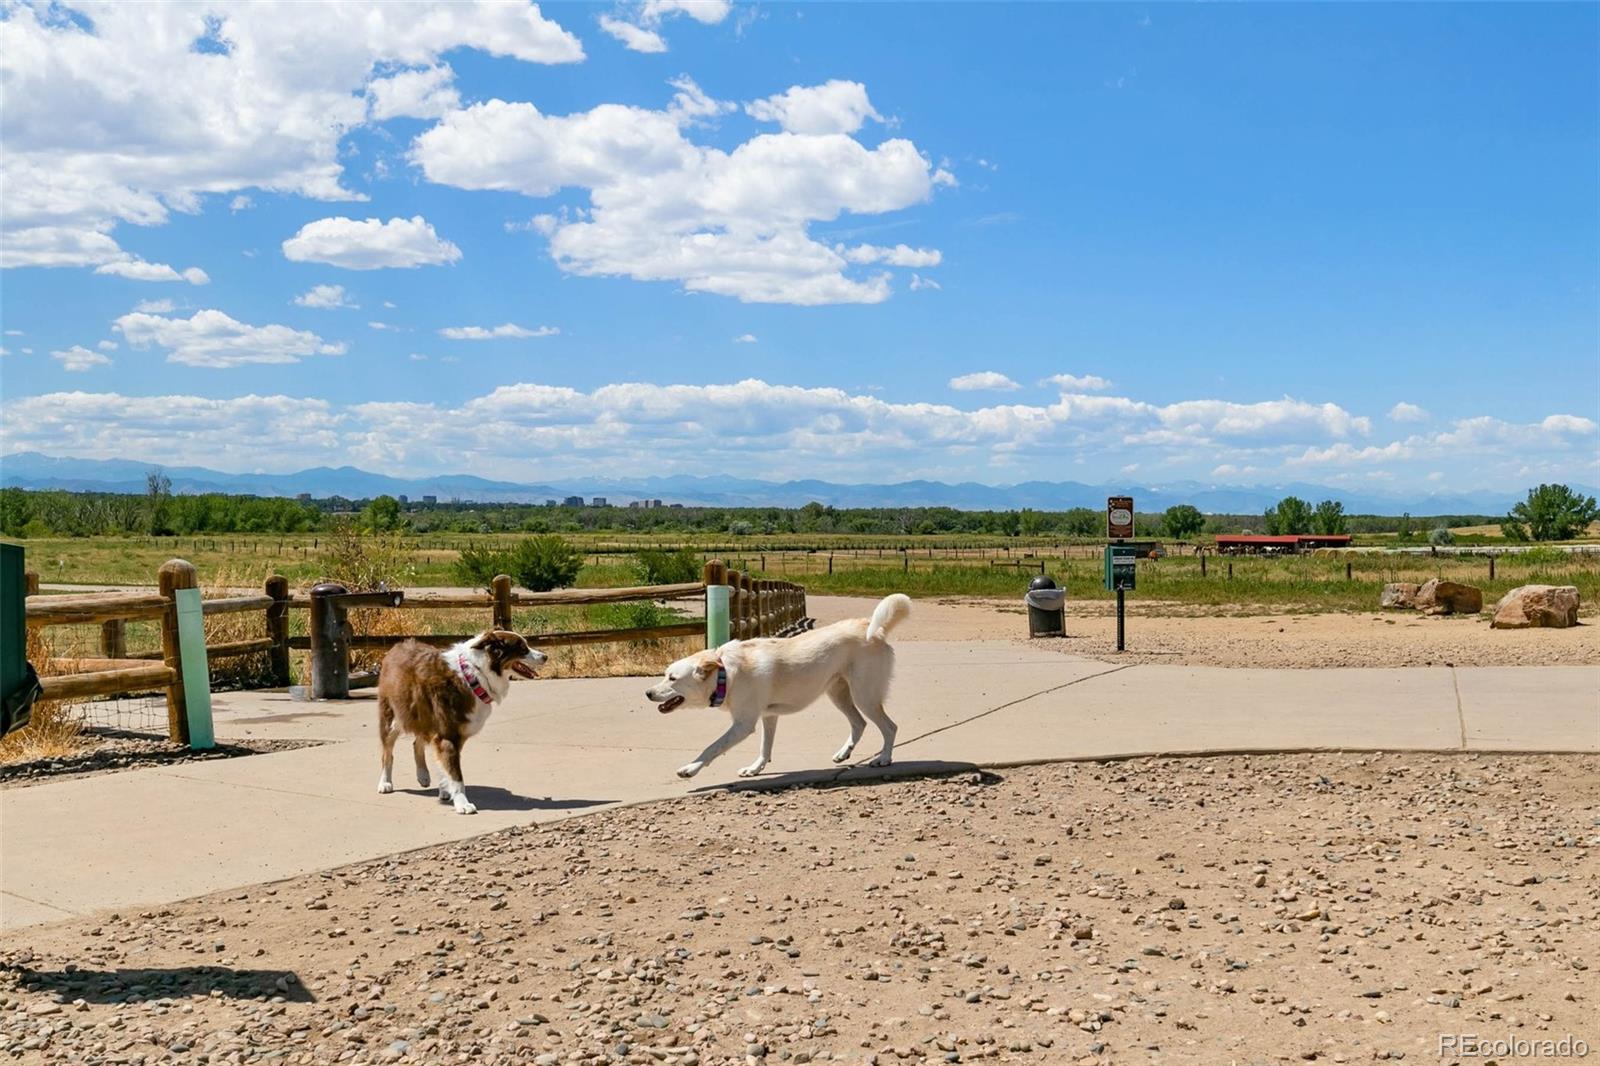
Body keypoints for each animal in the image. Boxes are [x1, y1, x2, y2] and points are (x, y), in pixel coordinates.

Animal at [377, 627, 547, 809]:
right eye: (522, 648)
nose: (545, 656)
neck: (474, 675)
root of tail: (398, 645)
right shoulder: (448, 735)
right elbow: (456, 775)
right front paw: (462, 803)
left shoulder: (454, 735)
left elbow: (445, 767)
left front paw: (446, 791)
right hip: (392, 720)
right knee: (387, 753)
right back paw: (385, 783)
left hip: (423, 717)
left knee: (417, 743)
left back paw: (423, 776)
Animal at [643, 592, 908, 777]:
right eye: (665, 674)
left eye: (672, 678)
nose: (647, 693)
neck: (726, 674)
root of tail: (875, 631)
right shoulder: (768, 717)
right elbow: (765, 748)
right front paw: (755, 768)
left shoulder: (743, 725)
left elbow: (712, 747)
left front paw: (691, 768)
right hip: (838, 694)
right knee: (859, 724)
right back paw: (844, 753)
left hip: (864, 696)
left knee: (890, 727)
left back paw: (884, 759)